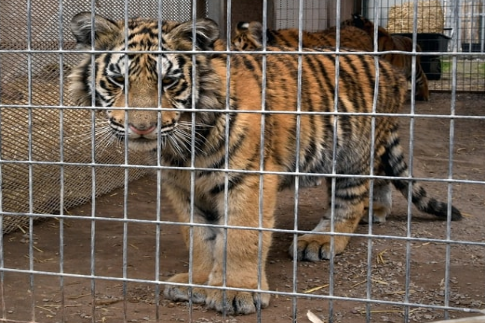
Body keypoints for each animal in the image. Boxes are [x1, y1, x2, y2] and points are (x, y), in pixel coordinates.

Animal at [69, 12, 462, 316]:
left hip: (351, 154)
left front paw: (236, 292)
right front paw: (197, 282)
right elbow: (199, 236)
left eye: (169, 81)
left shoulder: (247, 178)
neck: (186, 146)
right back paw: (375, 211)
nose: (142, 126)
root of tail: (388, 67)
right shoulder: (182, 187)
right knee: (377, 179)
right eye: (118, 79)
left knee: (348, 202)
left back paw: (320, 241)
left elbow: (241, 237)